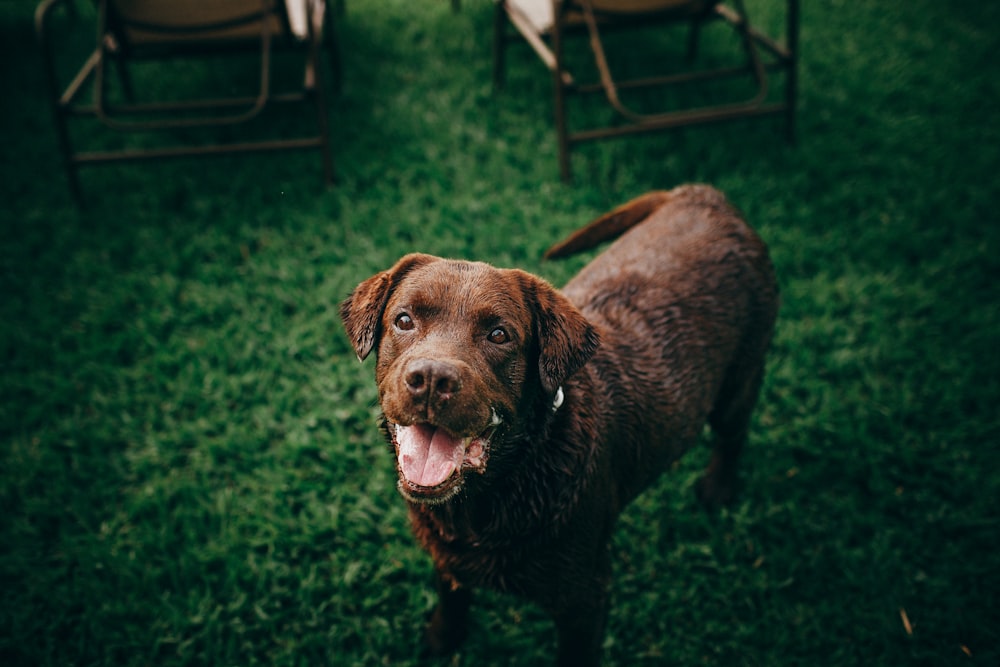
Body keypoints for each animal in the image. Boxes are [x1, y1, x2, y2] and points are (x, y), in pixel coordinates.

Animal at [340, 184, 776, 667]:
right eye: (404, 320)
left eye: (499, 335)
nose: (432, 378)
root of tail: (704, 193)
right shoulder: (445, 553)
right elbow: (451, 592)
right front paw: (443, 638)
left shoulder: (585, 598)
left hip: (740, 378)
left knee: (732, 434)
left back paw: (718, 488)